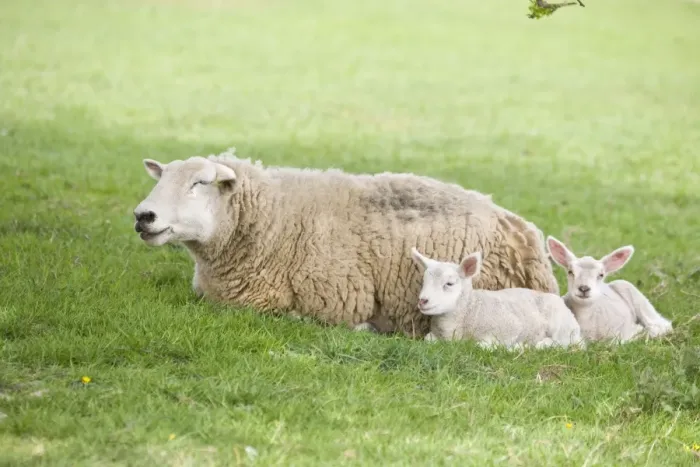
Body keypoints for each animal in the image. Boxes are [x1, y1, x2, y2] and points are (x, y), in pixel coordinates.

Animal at [410, 247, 584, 349]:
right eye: (423, 281)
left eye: (449, 283)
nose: (422, 301)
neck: (470, 309)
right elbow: (428, 338)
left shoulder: (510, 328)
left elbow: (482, 346)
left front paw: (514, 347)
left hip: (562, 327)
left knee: (564, 343)